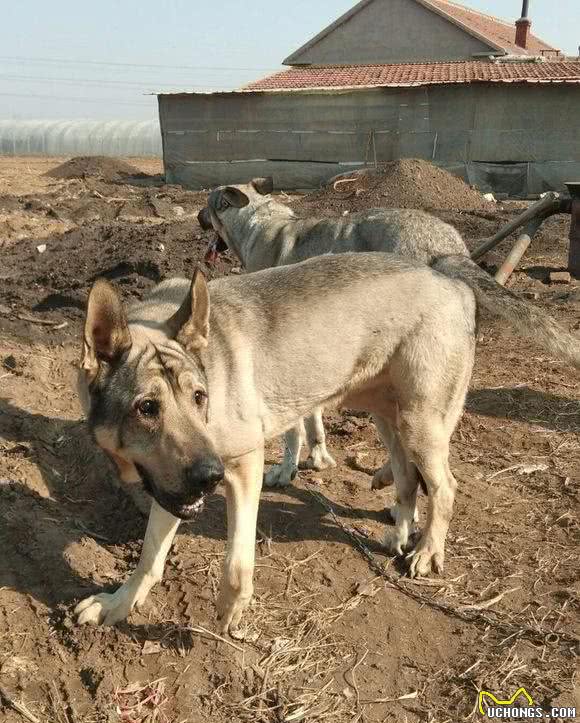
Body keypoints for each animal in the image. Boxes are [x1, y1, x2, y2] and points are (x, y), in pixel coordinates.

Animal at [76, 253, 580, 632]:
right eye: (147, 408)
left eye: (200, 398)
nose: (209, 476)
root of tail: (449, 277)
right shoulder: (173, 486)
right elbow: (149, 556)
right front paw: (119, 603)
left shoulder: (243, 464)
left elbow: (237, 559)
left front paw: (232, 607)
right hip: (388, 418)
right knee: (406, 479)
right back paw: (400, 532)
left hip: (422, 423)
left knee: (445, 487)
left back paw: (427, 551)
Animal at [196, 178, 580, 490]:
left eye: (209, 205)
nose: (197, 217)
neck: (259, 221)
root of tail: (446, 246)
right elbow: (314, 421)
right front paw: (318, 458)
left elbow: (293, 432)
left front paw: (285, 471)